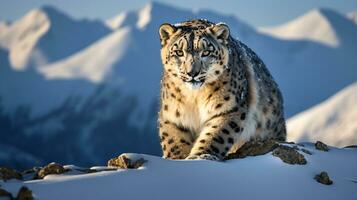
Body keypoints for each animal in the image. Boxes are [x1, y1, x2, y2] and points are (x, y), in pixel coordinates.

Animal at [157, 19, 286, 161]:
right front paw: (178, 158)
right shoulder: (173, 116)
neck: (194, 97)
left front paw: (200, 156)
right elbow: (174, 142)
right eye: (179, 52)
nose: (192, 73)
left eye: (206, 52)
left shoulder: (228, 109)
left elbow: (216, 136)